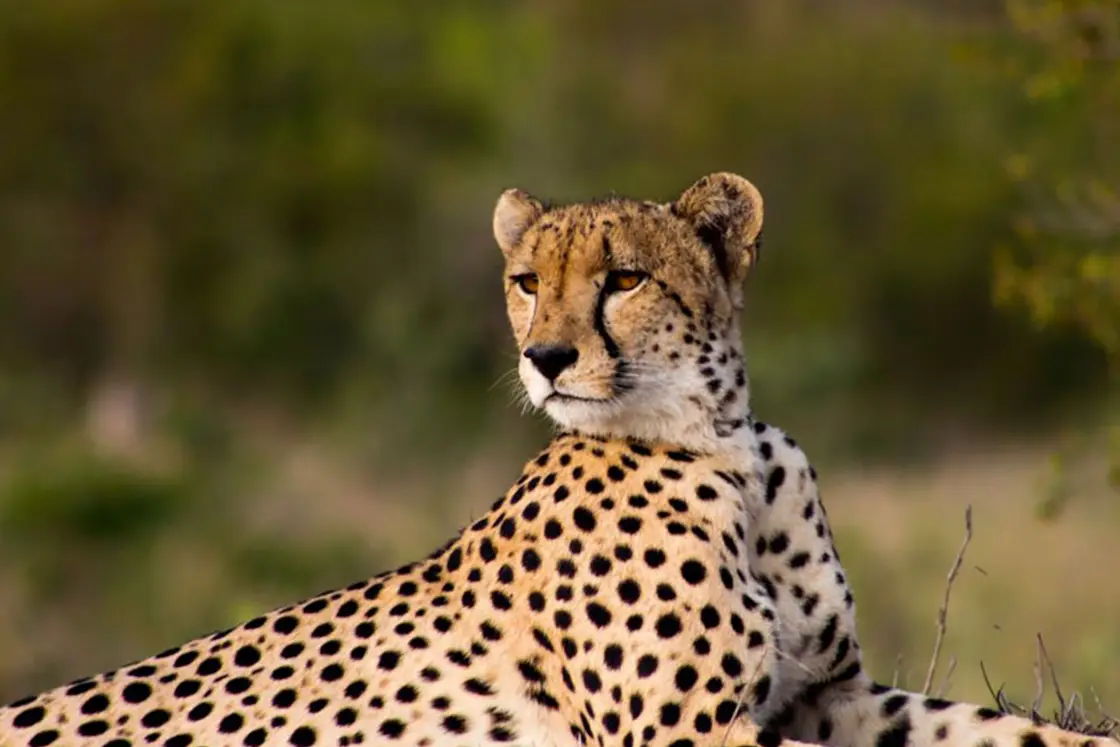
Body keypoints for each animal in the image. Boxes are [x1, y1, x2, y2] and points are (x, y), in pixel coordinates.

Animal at [0, 175, 1111, 747]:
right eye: (528, 280)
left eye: (623, 279)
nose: (544, 358)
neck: (724, 444)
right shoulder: (686, 734)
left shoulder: (825, 696)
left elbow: (1005, 730)